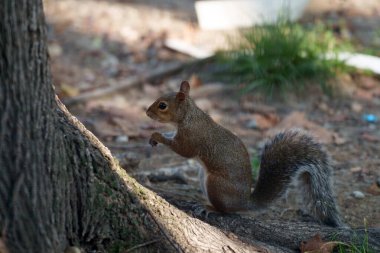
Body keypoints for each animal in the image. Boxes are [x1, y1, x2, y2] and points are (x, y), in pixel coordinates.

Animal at [145, 80, 344, 226]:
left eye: (162, 105)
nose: (146, 113)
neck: (188, 116)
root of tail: (244, 202)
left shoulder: (191, 137)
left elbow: (183, 150)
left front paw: (157, 135)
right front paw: (155, 137)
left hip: (216, 184)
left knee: (226, 210)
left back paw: (210, 208)